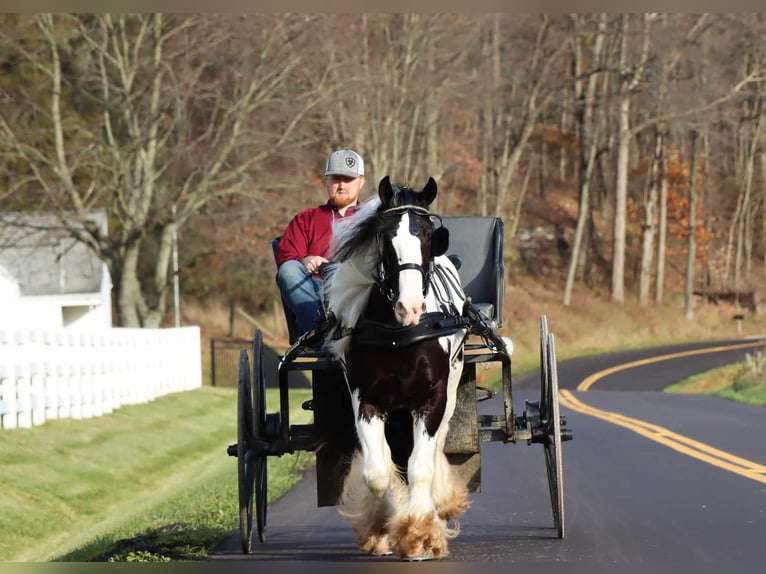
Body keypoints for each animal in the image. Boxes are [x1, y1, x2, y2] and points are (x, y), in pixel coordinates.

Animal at [322, 177, 472, 564]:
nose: (410, 307)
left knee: (434, 450)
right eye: (386, 237)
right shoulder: (366, 400)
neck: (398, 334)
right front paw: (383, 525)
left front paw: (421, 534)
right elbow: (378, 471)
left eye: (429, 236)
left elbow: (420, 466)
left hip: (451, 391)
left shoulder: (431, 400)